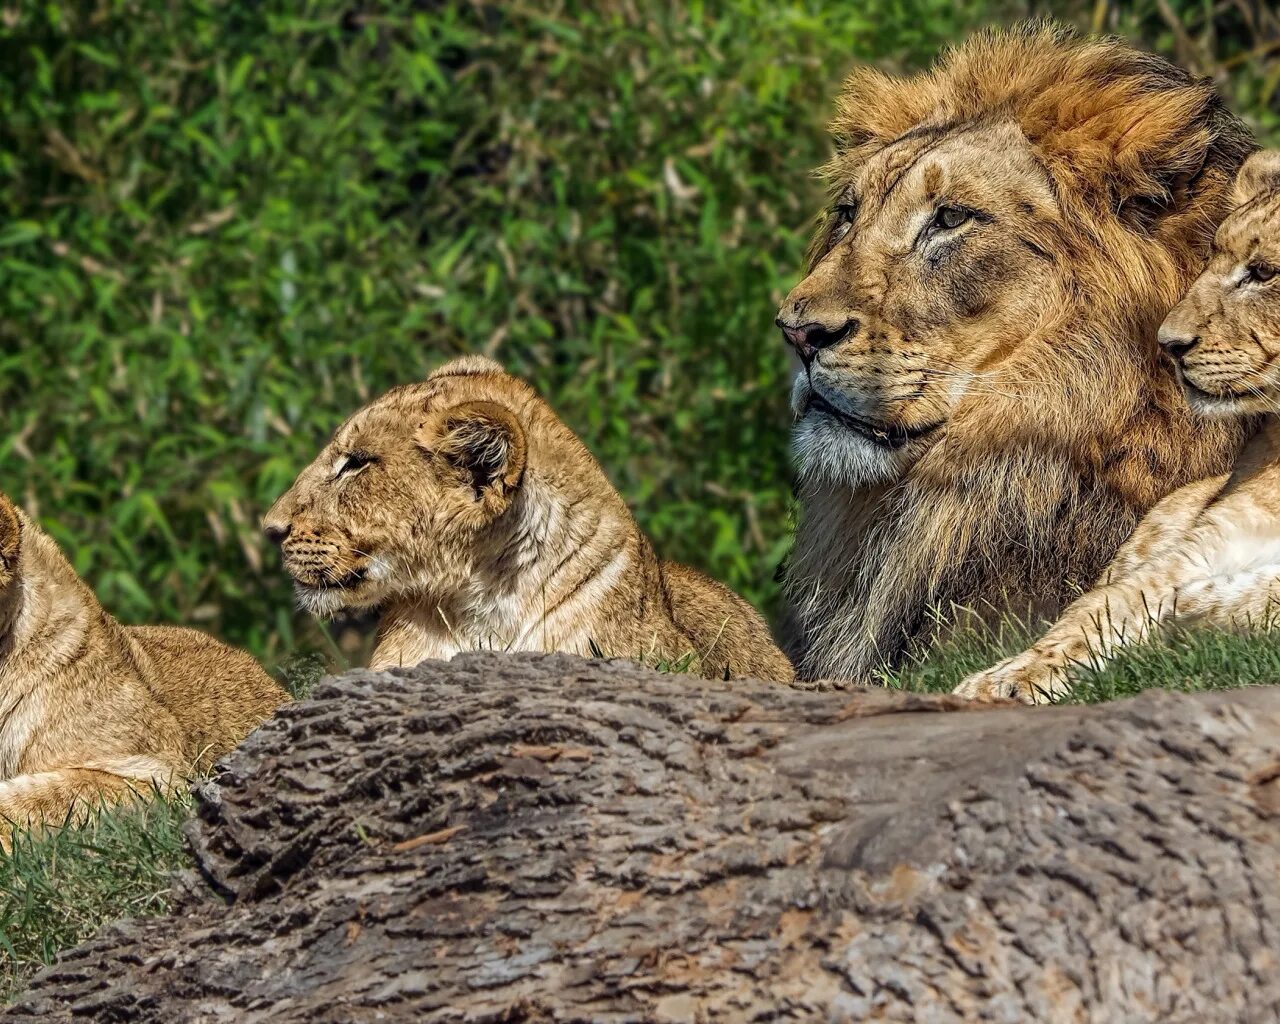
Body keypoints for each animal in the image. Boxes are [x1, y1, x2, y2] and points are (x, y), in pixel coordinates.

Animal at [957, 147, 1280, 701]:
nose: (1168, 344)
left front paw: (1201, 614)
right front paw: (1001, 682)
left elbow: (1261, 601)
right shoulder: (1199, 548)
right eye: (1211, 260)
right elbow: (1096, 612)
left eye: (1262, 272)